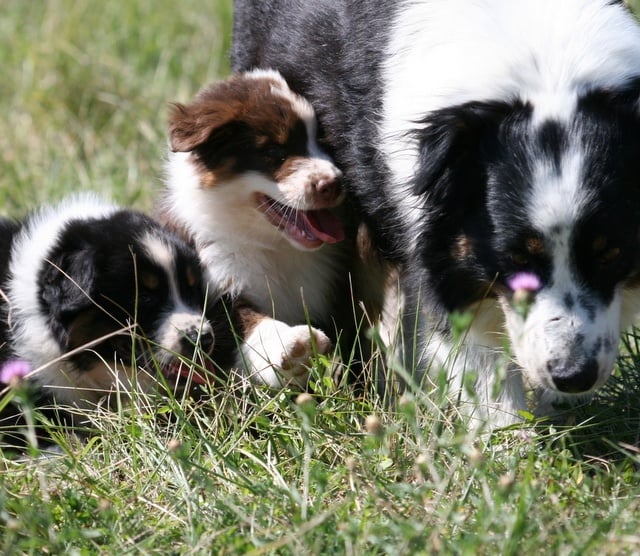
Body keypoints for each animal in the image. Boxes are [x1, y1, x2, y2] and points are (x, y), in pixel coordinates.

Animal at [161, 69, 376, 388]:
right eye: (275, 151)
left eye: (325, 143)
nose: (334, 184)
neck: (272, 244)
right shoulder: (214, 275)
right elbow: (239, 322)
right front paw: (293, 347)